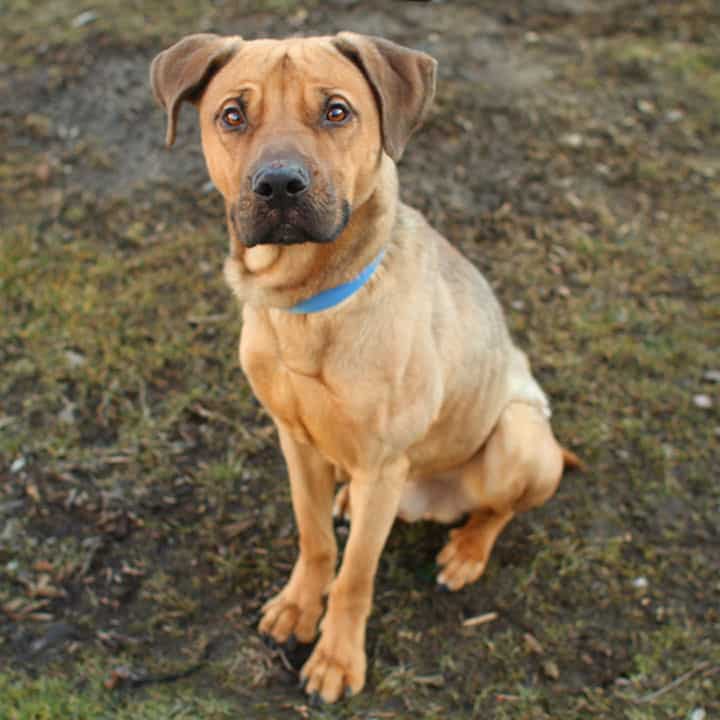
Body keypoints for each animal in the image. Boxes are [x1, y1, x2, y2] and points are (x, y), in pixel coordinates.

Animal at [152, 33, 580, 704]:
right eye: (232, 115)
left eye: (336, 111)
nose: (279, 185)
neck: (306, 305)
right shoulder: (295, 441)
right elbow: (315, 539)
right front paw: (298, 606)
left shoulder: (383, 464)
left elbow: (355, 575)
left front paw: (336, 658)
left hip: (518, 436)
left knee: (500, 509)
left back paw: (466, 551)